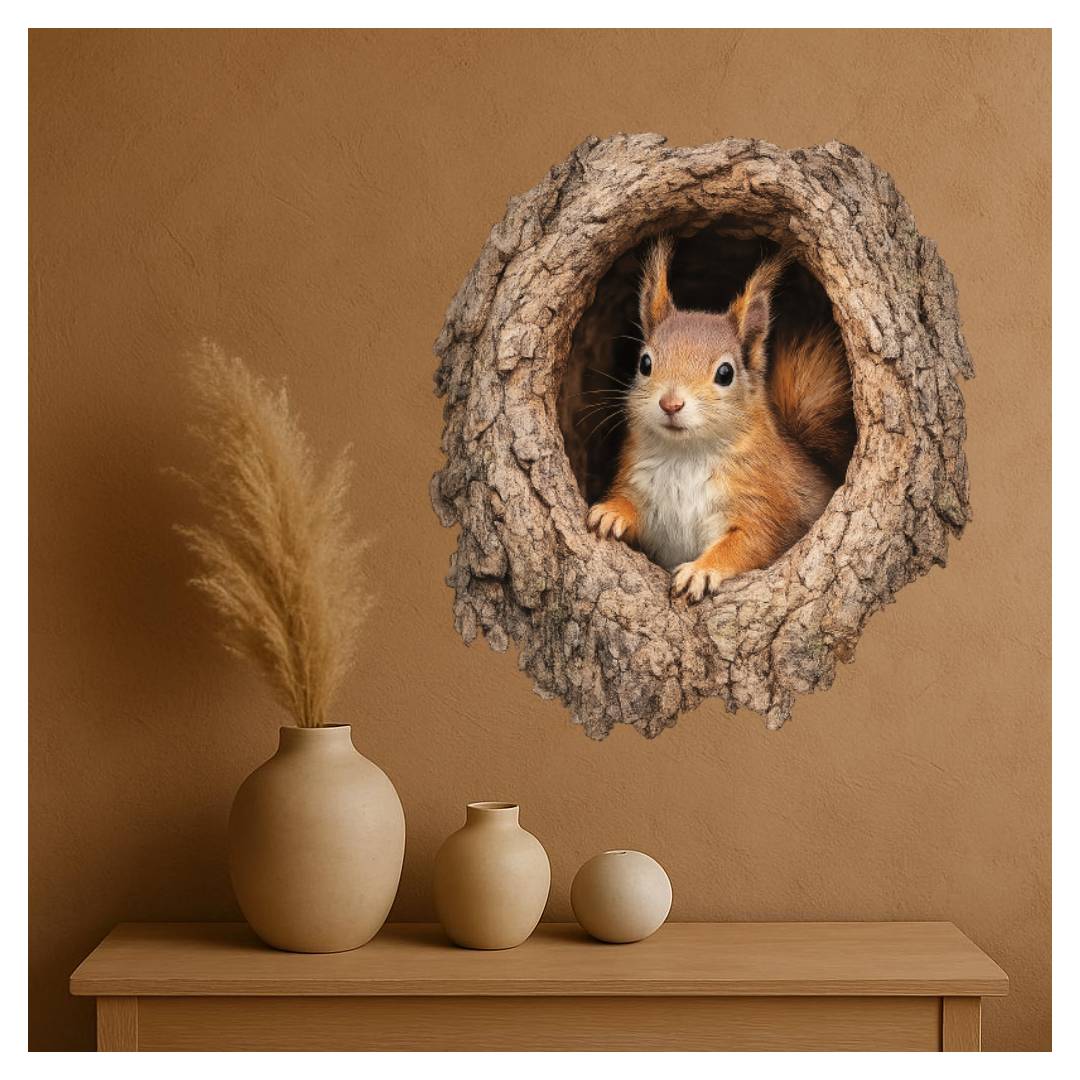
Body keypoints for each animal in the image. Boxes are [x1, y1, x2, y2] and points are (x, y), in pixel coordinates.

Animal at [586, 236, 854, 602]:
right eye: (644, 363)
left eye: (725, 373)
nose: (670, 403)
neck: (686, 455)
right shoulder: (642, 490)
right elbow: (633, 512)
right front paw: (612, 512)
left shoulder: (763, 507)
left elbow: (746, 544)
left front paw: (700, 570)